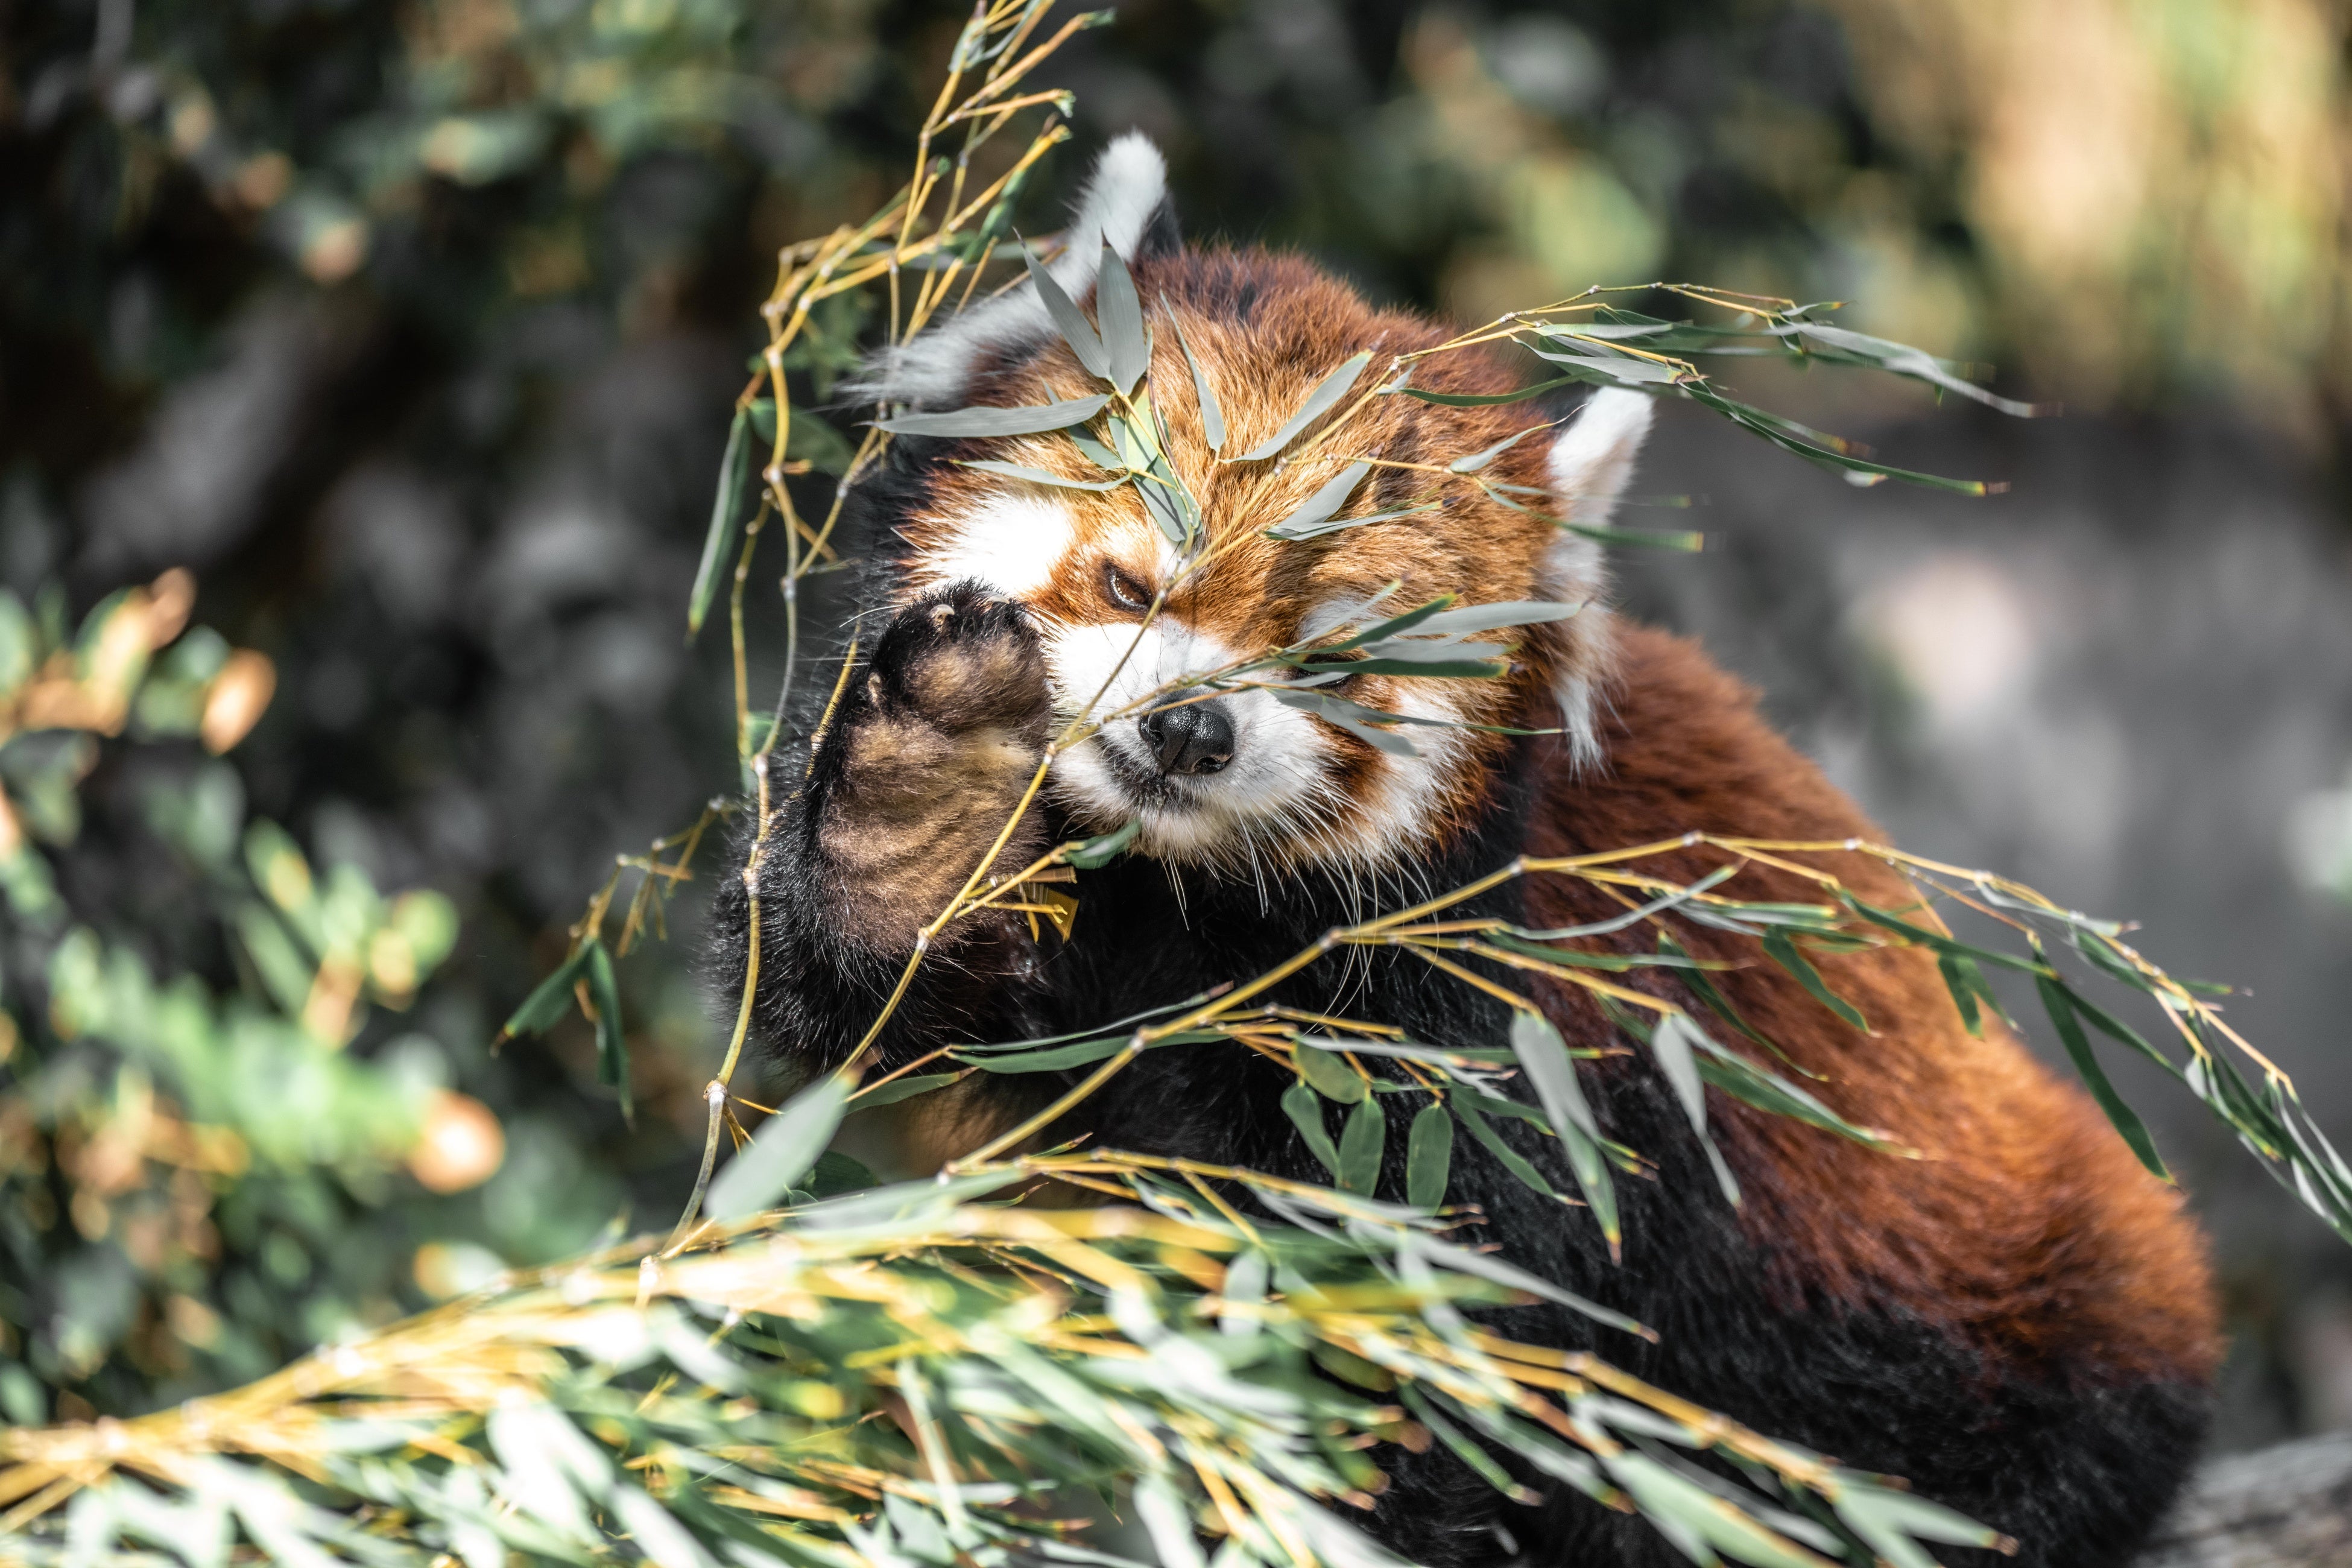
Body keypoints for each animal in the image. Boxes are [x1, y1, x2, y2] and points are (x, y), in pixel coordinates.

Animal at [715, 135, 2220, 1568]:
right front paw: (928, 799)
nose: (1190, 728)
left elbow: (1417, 1328)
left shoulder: (1484, 1039)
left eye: (1333, 660)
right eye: (1133, 580)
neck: (1177, 901)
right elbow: (861, 985)